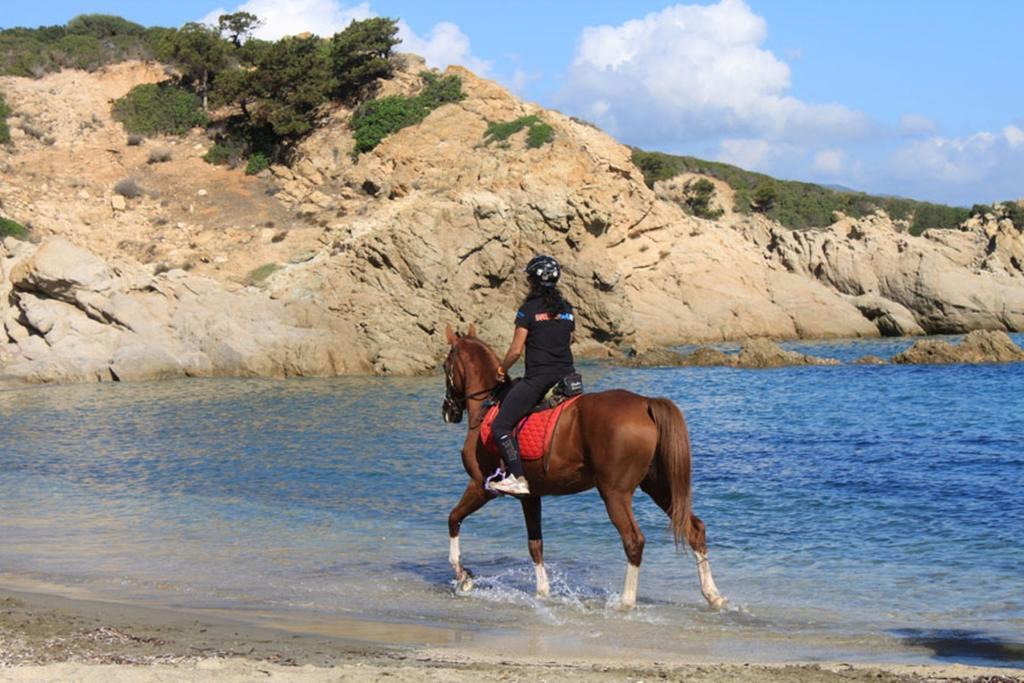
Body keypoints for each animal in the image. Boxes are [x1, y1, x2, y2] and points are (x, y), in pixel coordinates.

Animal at [442, 323, 729, 610]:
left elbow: (453, 519)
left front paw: (463, 576)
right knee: (694, 529)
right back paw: (712, 594)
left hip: (615, 493)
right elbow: (535, 545)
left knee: (634, 540)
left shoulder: (481, 486)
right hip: (658, 487)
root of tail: (645, 403)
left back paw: (626, 602)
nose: (448, 411)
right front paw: (543, 592)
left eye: (446, 365)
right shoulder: (531, 496)